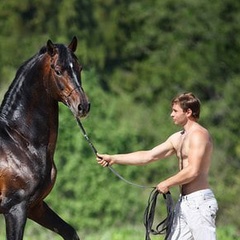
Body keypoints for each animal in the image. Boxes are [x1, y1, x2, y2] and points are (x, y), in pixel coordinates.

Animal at [0, 36, 89, 239]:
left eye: (79, 68)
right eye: (58, 70)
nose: (83, 106)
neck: (20, 142)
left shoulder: (36, 206)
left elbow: (70, 231)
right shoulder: (15, 208)